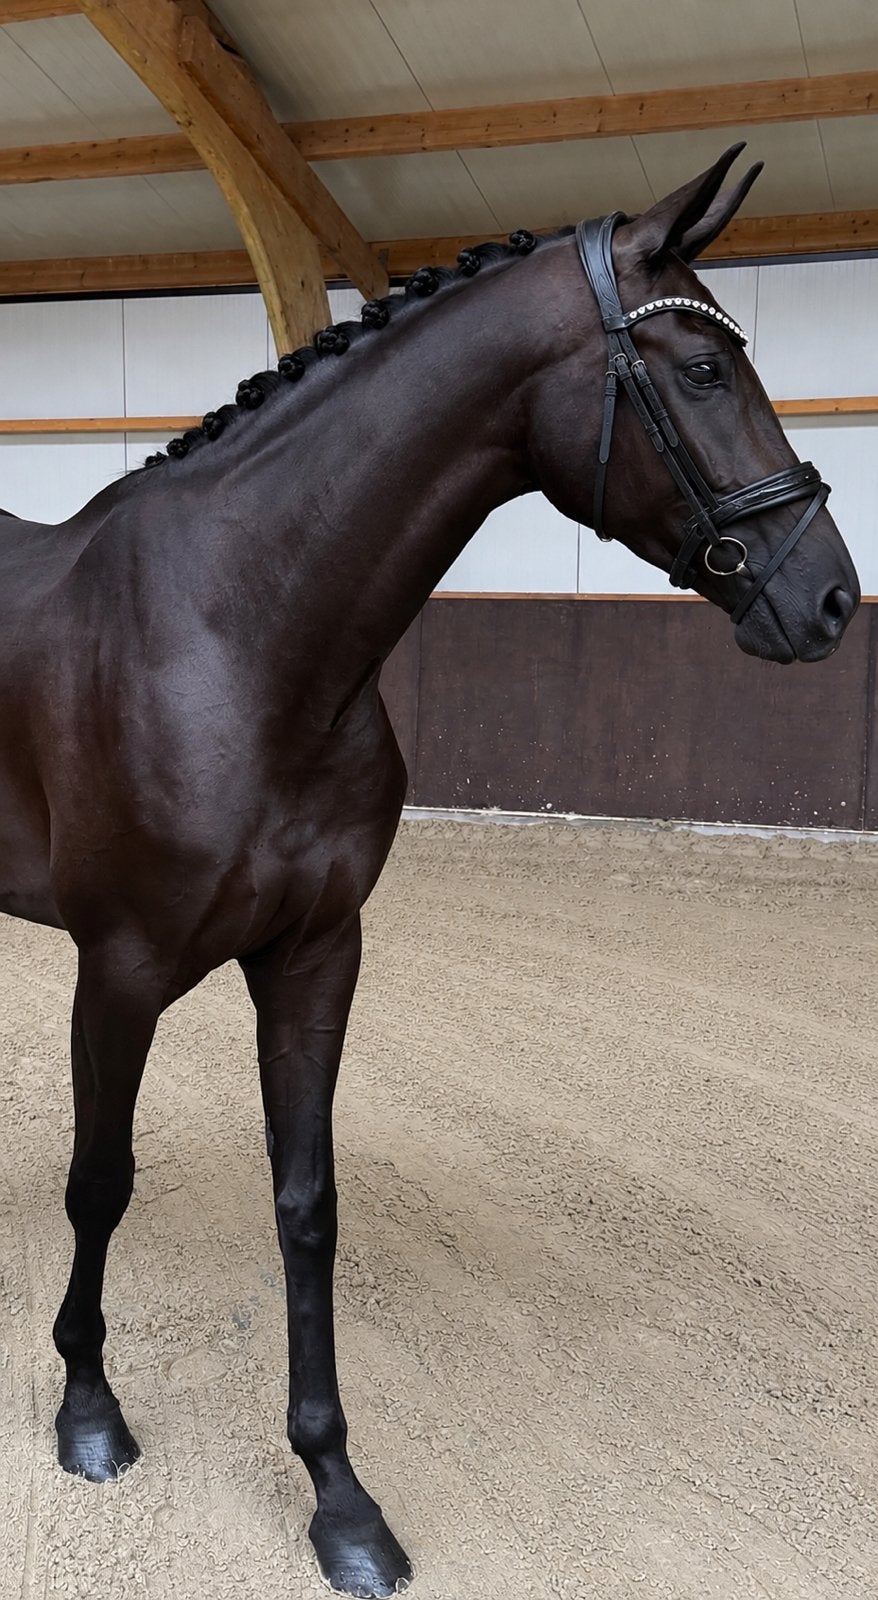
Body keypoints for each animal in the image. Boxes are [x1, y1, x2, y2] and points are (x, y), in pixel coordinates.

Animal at [0, 144, 859, 1597]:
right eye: (700, 371)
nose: (828, 599)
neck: (239, 630)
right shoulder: (117, 968)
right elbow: (98, 1178)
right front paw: (89, 1412)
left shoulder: (314, 955)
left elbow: (305, 1207)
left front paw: (338, 1498)